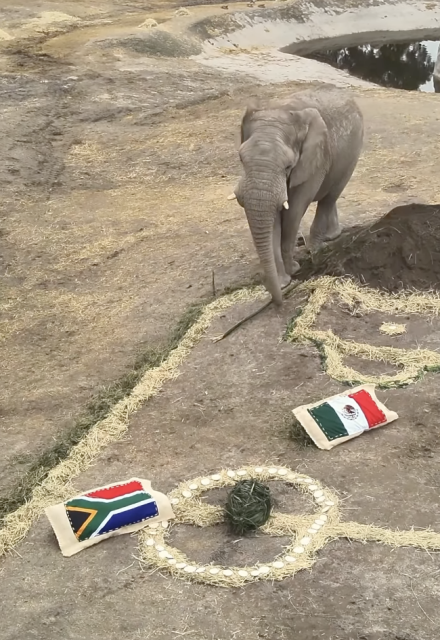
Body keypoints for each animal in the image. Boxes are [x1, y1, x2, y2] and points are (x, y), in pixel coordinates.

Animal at [228, 87, 364, 305]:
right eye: (241, 158)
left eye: (288, 166)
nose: (279, 301)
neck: (282, 109)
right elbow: (274, 217)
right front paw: (283, 281)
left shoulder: (314, 159)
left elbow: (294, 210)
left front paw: (293, 270)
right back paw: (330, 236)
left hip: (353, 152)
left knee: (330, 197)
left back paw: (317, 248)